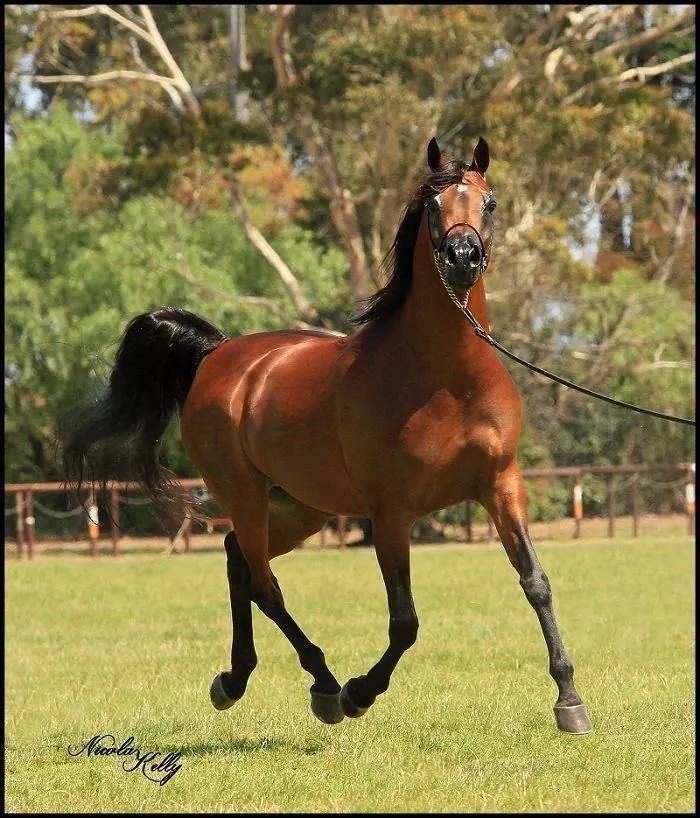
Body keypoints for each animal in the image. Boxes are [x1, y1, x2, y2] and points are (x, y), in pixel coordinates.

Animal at [63, 136, 592, 734]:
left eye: (491, 202)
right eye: (432, 205)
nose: (463, 257)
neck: (448, 380)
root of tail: (217, 355)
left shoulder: (501, 486)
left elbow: (536, 583)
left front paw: (569, 699)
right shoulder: (391, 512)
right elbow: (405, 621)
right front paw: (360, 692)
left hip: (302, 507)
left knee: (238, 559)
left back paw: (239, 678)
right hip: (245, 495)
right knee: (264, 583)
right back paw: (323, 684)